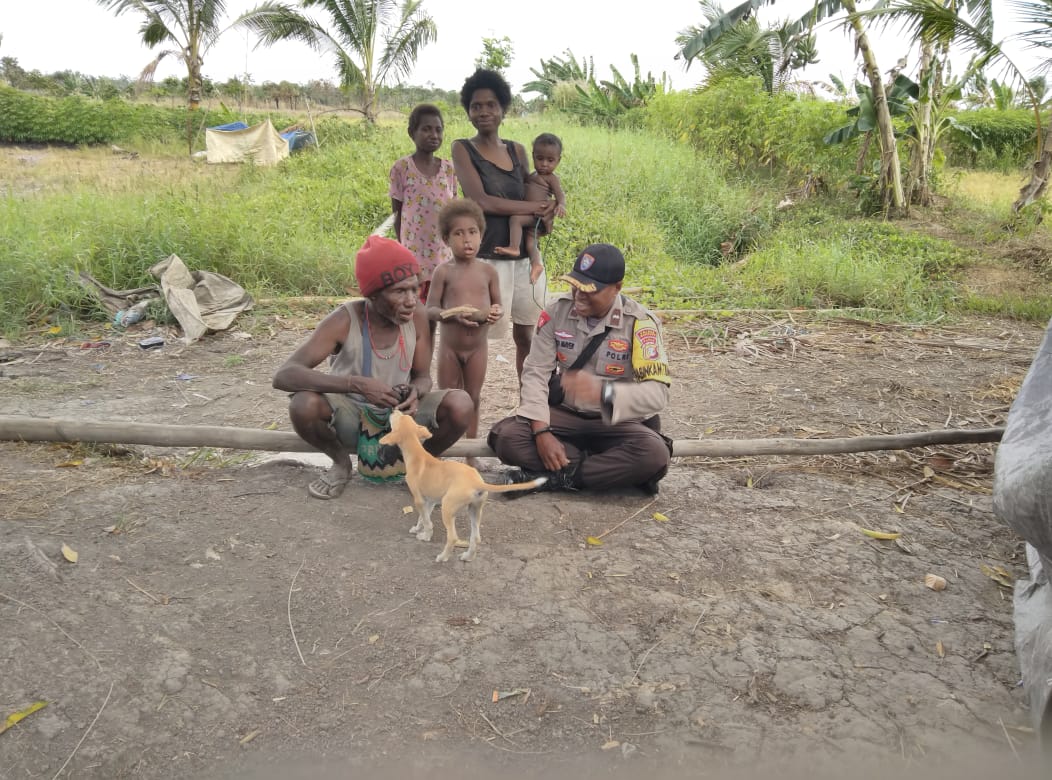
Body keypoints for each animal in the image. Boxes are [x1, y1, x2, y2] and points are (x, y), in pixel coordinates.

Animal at [380, 408, 547, 560]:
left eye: (396, 420)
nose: (394, 410)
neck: (416, 453)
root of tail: (477, 481)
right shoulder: (430, 501)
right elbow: (423, 517)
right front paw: (418, 529)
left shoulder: (419, 499)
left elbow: (427, 521)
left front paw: (425, 536)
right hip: (475, 509)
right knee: (476, 537)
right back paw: (467, 556)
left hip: (448, 508)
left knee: (453, 537)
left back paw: (443, 557)